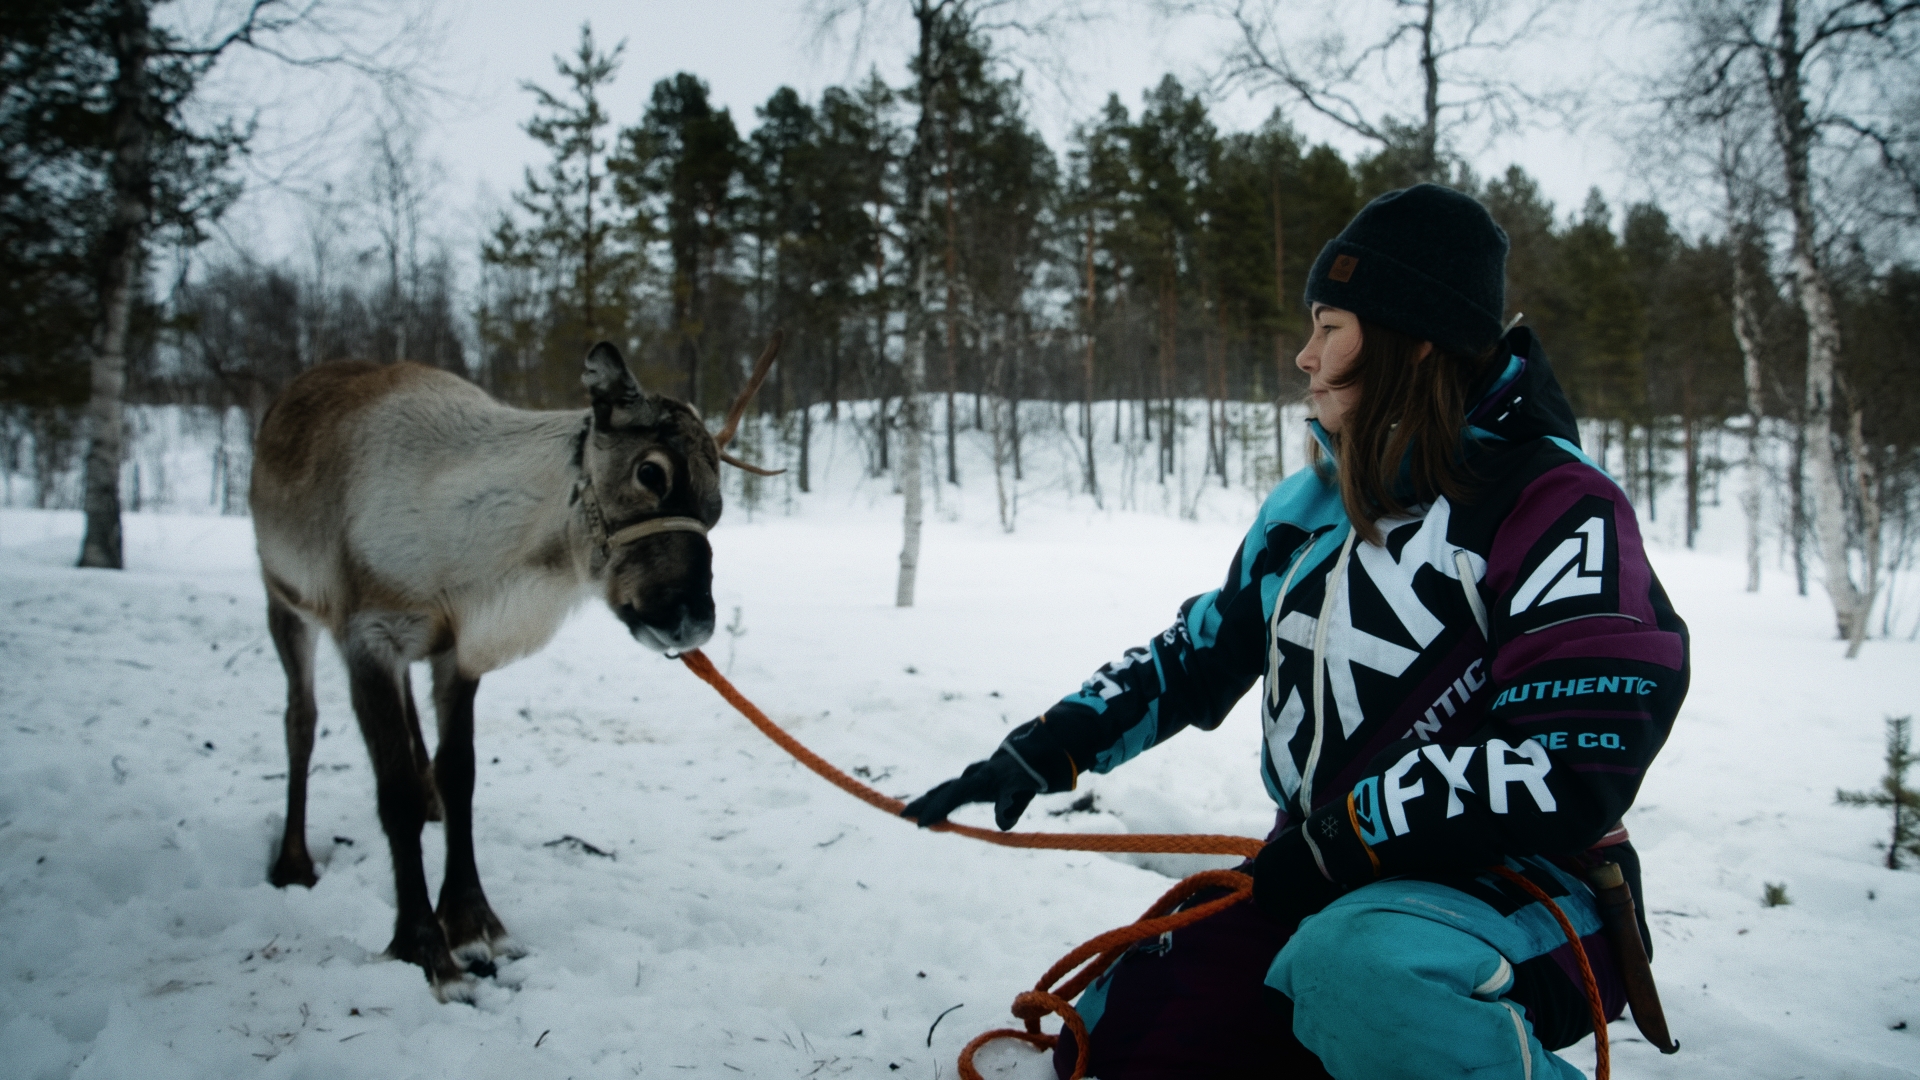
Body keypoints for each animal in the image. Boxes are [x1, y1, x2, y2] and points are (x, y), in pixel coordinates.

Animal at [250, 335, 781, 1000]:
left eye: (716, 506)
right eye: (651, 472)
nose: (692, 619)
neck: (473, 560)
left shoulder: (456, 649)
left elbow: (461, 775)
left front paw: (475, 924)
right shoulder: (369, 638)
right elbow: (393, 794)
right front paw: (427, 952)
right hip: (282, 599)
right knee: (300, 719)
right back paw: (292, 862)